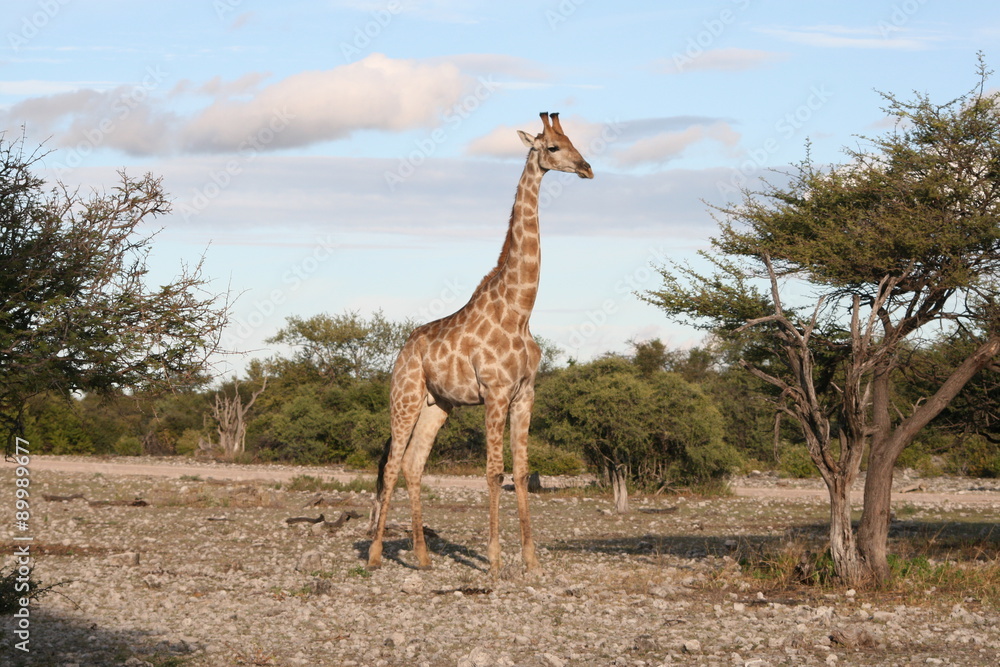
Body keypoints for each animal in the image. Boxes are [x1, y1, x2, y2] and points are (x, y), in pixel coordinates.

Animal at [366, 112, 593, 575]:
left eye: (574, 142)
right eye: (554, 147)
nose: (587, 168)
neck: (520, 310)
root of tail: (401, 352)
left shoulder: (524, 394)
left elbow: (521, 473)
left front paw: (531, 559)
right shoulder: (495, 392)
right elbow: (493, 472)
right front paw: (494, 559)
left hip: (437, 405)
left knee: (413, 465)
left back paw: (422, 556)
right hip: (405, 397)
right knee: (393, 465)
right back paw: (376, 554)